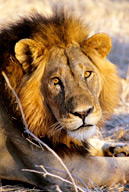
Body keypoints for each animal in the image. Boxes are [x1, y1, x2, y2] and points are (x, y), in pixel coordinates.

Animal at [0, 11, 129, 190]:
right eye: (55, 81)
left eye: (87, 74)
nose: (83, 113)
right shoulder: (60, 169)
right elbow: (117, 166)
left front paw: (117, 148)